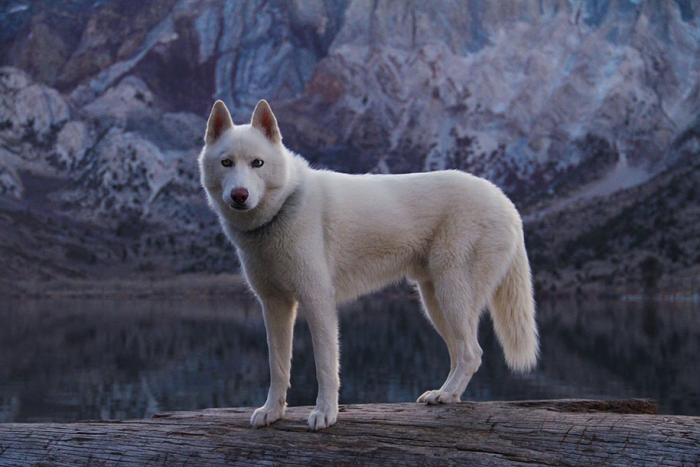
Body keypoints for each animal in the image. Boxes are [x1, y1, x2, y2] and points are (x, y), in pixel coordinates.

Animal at [198, 99, 539, 431]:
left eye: (258, 163)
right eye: (226, 163)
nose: (239, 195)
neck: (284, 206)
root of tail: (506, 202)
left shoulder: (317, 302)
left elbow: (325, 367)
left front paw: (325, 414)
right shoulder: (275, 306)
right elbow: (278, 366)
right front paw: (273, 411)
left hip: (451, 294)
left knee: (471, 353)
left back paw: (446, 394)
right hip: (435, 301)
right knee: (461, 352)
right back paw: (445, 394)